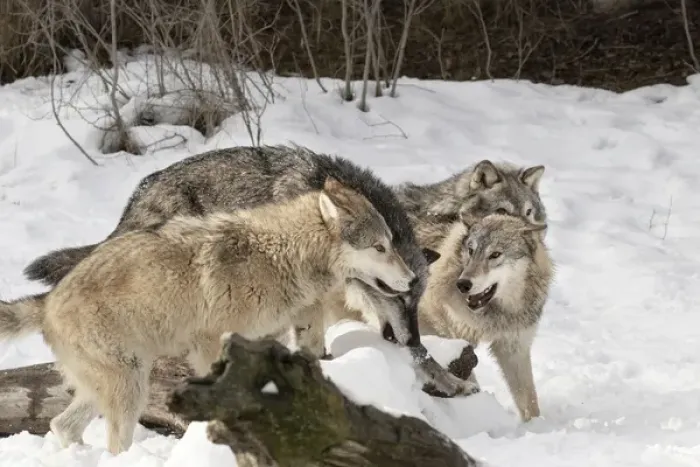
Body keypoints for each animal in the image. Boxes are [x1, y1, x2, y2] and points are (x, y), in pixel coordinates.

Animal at [0, 178, 421, 454]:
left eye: (390, 245)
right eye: (380, 247)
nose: (414, 278)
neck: (283, 255)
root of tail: (48, 301)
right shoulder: (209, 346)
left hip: (120, 383)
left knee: (61, 425)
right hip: (131, 388)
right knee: (113, 445)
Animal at [418, 212, 554, 422]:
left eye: (495, 255)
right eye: (471, 251)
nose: (463, 284)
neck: (493, 317)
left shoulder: (513, 349)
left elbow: (529, 402)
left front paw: (535, 427)